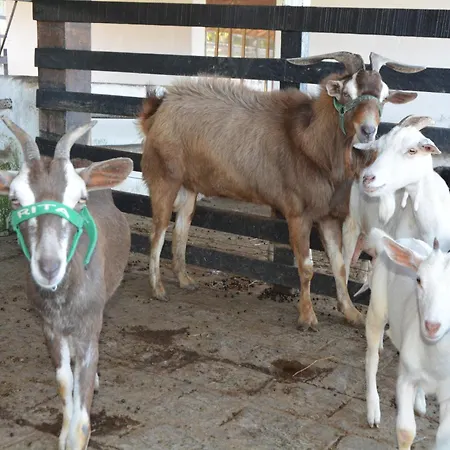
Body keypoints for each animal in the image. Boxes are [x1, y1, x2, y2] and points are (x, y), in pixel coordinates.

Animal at [0, 117, 133, 450]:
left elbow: (82, 408)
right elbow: (64, 381)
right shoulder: (48, 327)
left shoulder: (90, 323)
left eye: (80, 198)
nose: (49, 267)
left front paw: (74, 435)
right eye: (15, 199)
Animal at [138, 51, 424, 330]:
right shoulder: (297, 213)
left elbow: (339, 265)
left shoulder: (327, 216)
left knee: (182, 227)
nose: (368, 130)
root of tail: (161, 106)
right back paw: (157, 288)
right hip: (164, 177)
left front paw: (351, 313)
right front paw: (307, 317)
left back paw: (184, 279)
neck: (310, 143)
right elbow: (306, 266)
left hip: (189, 185)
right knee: (157, 231)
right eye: (346, 93)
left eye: (384, 96)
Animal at [366, 228, 450, 450]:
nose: (431, 325)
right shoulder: (405, 379)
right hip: (377, 306)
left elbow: (444, 437)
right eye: (418, 280)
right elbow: (406, 431)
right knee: (372, 356)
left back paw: (419, 401)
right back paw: (373, 409)